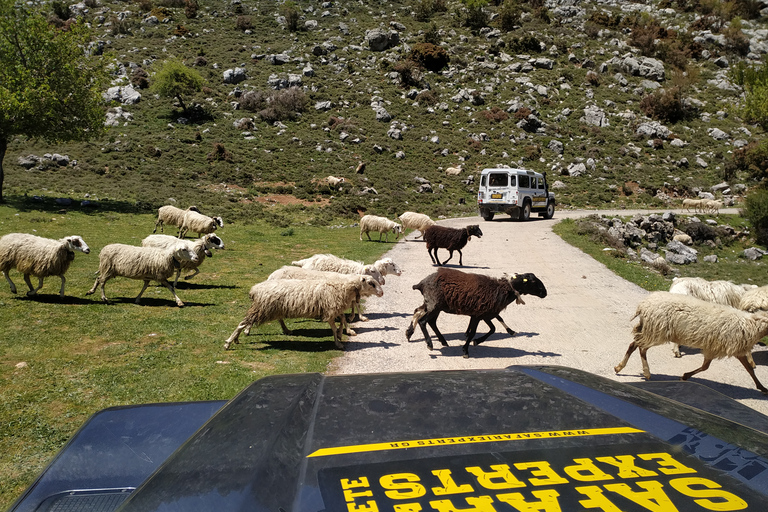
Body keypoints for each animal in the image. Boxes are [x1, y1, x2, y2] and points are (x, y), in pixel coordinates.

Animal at [226, 276, 384, 352]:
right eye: (371, 283)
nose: (382, 293)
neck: (342, 287)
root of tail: (254, 289)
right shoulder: (330, 310)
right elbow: (334, 327)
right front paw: (338, 342)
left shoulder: (334, 309)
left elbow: (343, 319)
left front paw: (343, 333)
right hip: (262, 308)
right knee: (242, 323)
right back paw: (229, 342)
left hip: (269, 309)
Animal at [404, 270, 548, 358]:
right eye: (533, 281)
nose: (545, 293)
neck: (503, 289)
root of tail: (421, 283)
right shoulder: (479, 315)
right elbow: (475, 332)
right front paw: (466, 350)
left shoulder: (484, 314)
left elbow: (492, 329)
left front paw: (476, 342)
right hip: (434, 304)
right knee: (423, 321)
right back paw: (430, 344)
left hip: (434, 305)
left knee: (428, 319)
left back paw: (441, 340)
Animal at [616, 290, 768, 394]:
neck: (751, 325)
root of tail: (643, 305)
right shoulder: (717, 348)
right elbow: (706, 367)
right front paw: (685, 376)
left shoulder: (735, 350)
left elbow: (749, 369)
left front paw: (762, 387)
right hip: (656, 331)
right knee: (642, 348)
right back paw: (646, 372)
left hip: (650, 329)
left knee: (634, 344)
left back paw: (620, 367)